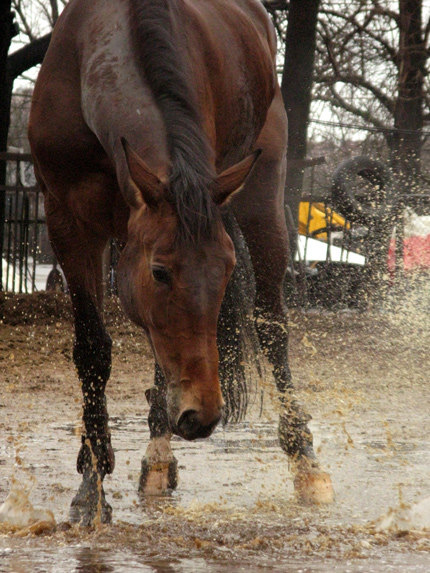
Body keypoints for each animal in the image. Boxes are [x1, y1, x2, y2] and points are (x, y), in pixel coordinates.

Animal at [29, 0, 332, 524]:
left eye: (227, 271)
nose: (203, 415)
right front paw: (92, 485)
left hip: (262, 196)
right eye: (160, 271)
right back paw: (156, 453)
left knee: (271, 323)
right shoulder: (68, 222)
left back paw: (305, 463)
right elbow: (93, 348)